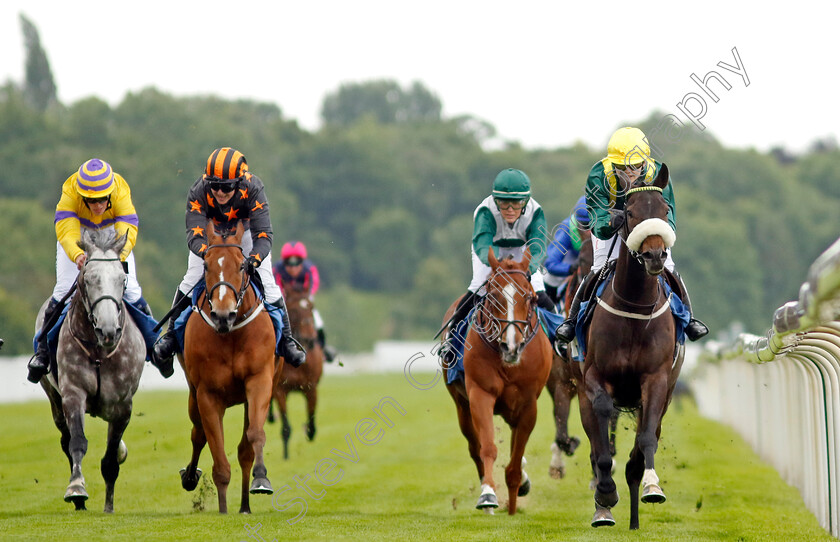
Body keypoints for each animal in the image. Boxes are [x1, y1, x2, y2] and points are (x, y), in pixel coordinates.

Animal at [36, 230, 146, 516]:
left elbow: (110, 460)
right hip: (53, 397)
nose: (108, 330)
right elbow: (77, 442)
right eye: (88, 278)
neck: (99, 350)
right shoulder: (73, 393)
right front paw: (76, 489)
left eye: (122, 280)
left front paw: (108, 507)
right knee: (65, 439)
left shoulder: (123, 405)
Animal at [178, 221, 278, 516]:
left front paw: (261, 478)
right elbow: (218, 458)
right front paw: (222, 511)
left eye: (242, 265)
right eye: (206, 265)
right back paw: (190, 476)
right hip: (193, 396)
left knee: (244, 449)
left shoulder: (260, 380)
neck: (231, 333)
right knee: (197, 433)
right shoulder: (207, 394)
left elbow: (255, 435)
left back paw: (245, 504)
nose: (223, 315)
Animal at [270, 286, 324, 462]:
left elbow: (312, 424)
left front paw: (308, 430)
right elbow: (286, 427)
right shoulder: (280, 390)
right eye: (293, 310)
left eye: (311, 307)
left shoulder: (311, 387)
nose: (309, 339)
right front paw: (286, 456)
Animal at [442, 249, 556, 516]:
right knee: (475, 447)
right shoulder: (480, 394)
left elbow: (515, 460)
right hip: (462, 406)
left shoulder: (528, 405)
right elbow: (488, 448)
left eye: (529, 297)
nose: (510, 346)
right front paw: (488, 495)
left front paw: (514, 500)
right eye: (493, 296)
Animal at [580, 166, 684, 532]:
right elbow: (602, 434)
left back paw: (637, 513)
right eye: (629, 213)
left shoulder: (656, 381)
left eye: (665, 211)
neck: (635, 306)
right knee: (596, 445)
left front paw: (652, 486)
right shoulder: (594, 377)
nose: (655, 255)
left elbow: (646, 439)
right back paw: (603, 508)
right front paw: (605, 493)